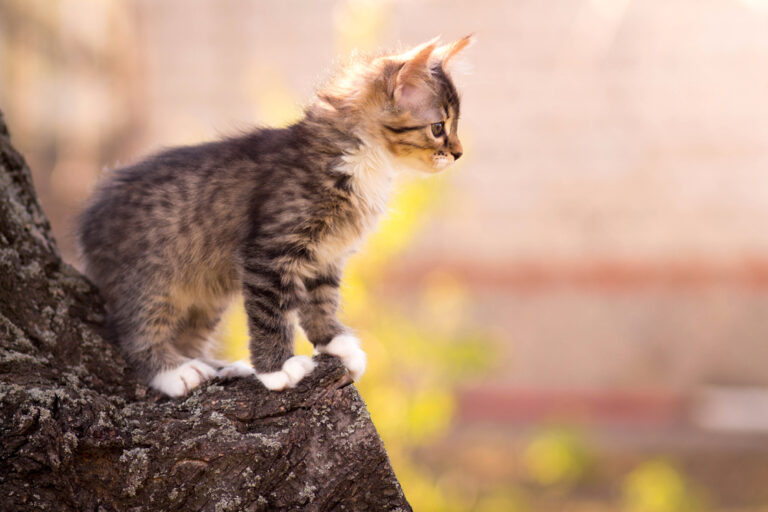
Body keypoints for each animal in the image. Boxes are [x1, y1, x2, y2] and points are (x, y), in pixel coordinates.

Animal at [81, 36, 472, 396]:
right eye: (439, 127)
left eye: (452, 127)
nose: (458, 153)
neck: (362, 164)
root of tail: (90, 215)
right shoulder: (269, 253)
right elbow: (271, 314)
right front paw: (277, 369)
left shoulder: (326, 256)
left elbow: (322, 301)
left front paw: (335, 344)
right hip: (152, 279)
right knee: (139, 330)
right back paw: (173, 371)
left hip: (205, 295)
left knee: (189, 338)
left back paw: (218, 367)